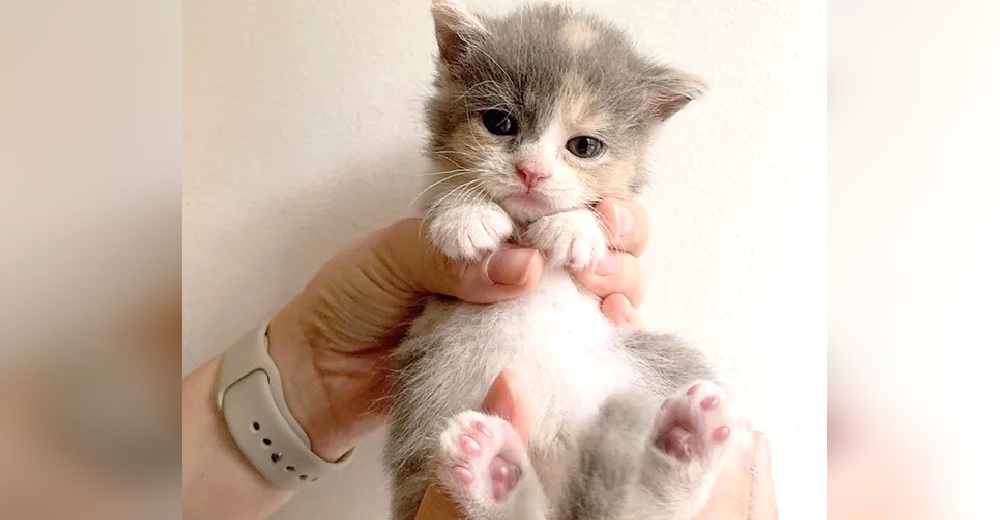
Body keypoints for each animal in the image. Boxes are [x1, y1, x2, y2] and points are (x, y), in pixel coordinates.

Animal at [386, 2, 748, 516]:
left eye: (585, 146)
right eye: (500, 123)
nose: (532, 171)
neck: (524, 230)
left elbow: (604, 214)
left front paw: (576, 228)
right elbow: (443, 191)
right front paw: (464, 215)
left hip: (656, 363)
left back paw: (685, 444)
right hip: (425, 410)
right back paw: (493, 473)